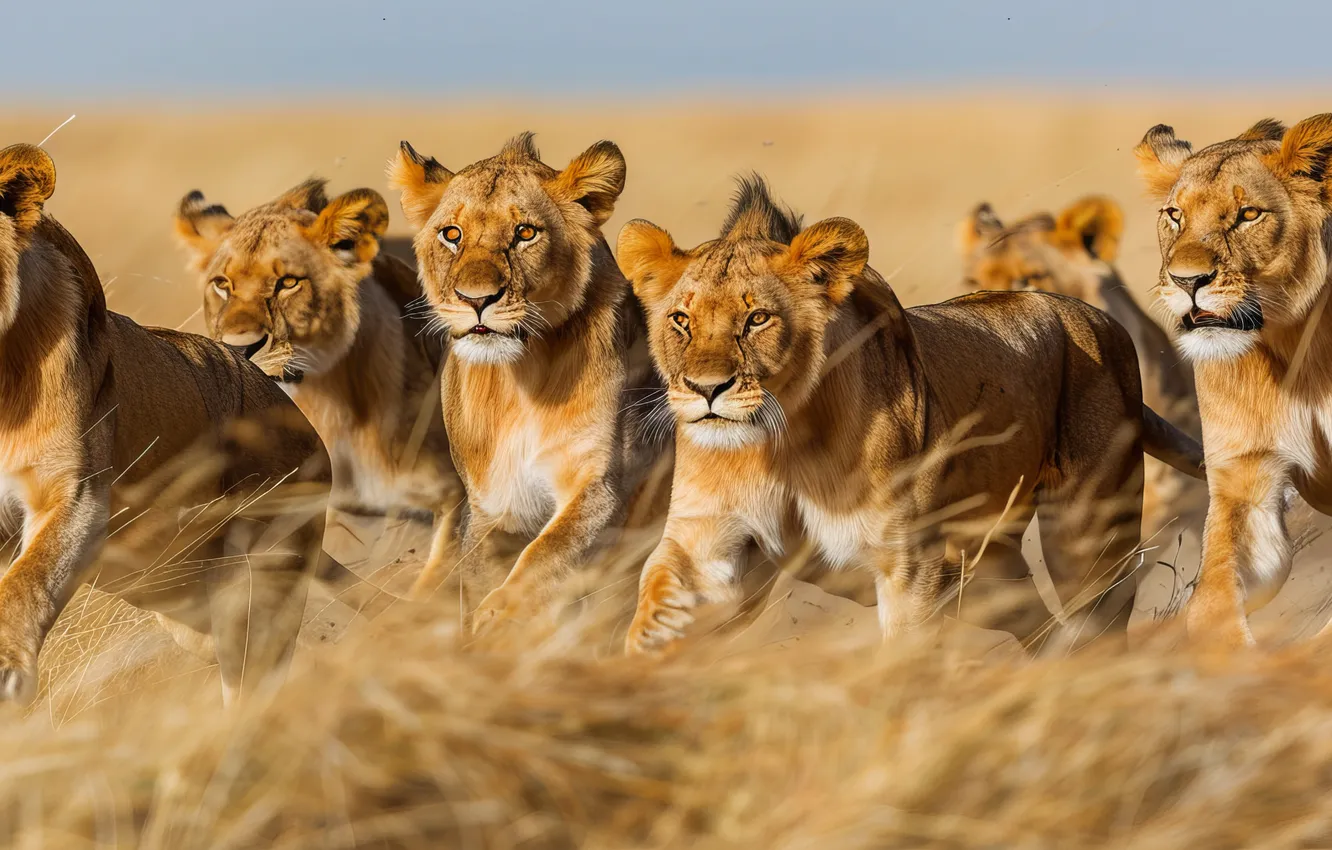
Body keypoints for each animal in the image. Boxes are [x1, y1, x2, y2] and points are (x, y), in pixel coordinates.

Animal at [173, 179, 462, 597]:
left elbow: (437, 577)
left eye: (289, 283)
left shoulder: (457, 496)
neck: (329, 402)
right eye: (222, 285)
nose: (240, 348)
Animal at [387, 133, 665, 631]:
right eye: (451, 235)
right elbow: (481, 569)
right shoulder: (493, 505)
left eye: (525, 233)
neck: (522, 382)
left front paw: (500, 616)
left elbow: (548, 552)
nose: (476, 300)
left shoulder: (601, 479)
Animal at [1134, 114, 1332, 647]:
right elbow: (1212, 601)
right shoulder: (1245, 480)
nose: (1187, 282)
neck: (1297, 339)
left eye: (1248, 214)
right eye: (1175, 215)